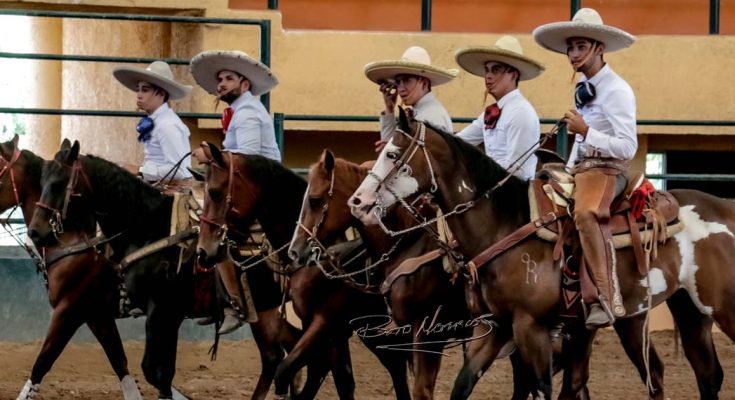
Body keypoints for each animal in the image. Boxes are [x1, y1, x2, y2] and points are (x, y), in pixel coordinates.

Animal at [0, 136, 142, 398]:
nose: (35, 233)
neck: (72, 242)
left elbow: (42, 363)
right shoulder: (97, 315)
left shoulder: (69, 310)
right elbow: (120, 363)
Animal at [25, 138, 300, 400]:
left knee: (278, 355)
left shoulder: (149, 311)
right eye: (42, 181)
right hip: (267, 311)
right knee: (282, 354)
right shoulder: (118, 314)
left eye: (58, 183)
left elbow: (152, 371)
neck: (147, 226)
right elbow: (141, 366)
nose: (36, 231)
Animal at [194, 144, 414, 400]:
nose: (203, 251)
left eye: (215, 192)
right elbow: (339, 379)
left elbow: (306, 370)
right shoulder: (331, 330)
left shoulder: (327, 323)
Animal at [346, 110, 735, 400]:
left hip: (721, 308)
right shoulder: (496, 326)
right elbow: (463, 384)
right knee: (698, 375)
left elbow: (541, 388)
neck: (502, 223)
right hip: (680, 311)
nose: (358, 202)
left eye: (392, 154)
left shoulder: (530, 327)